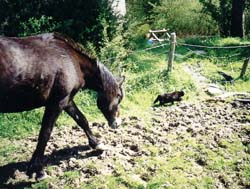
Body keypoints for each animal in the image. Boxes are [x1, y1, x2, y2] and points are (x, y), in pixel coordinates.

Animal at [0, 33, 125, 179]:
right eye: (118, 95)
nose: (117, 123)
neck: (71, 59)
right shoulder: (57, 102)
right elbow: (45, 133)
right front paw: (37, 170)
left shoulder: (67, 100)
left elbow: (82, 120)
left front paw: (97, 144)